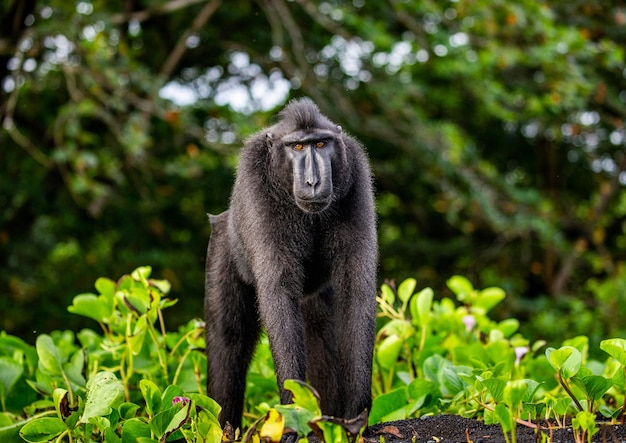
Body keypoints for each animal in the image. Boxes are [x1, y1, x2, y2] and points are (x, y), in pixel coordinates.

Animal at [205, 98, 376, 430]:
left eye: (320, 144)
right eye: (297, 147)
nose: (313, 181)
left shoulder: (356, 172)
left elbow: (356, 291)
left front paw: (355, 413)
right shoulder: (255, 178)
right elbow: (278, 291)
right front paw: (293, 409)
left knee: (322, 335)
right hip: (222, 247)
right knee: (229, 340)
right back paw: (225, 428)